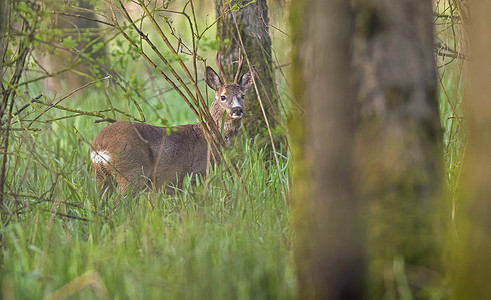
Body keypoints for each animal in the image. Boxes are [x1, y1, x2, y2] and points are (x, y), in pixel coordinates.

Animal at [90, 55, 256, 196]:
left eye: (242, 96)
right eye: (223, 97)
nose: (237, 110)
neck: (210, 138)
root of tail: (99, 146)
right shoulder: (196, 175)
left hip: (102, 177)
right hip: (131, 172)